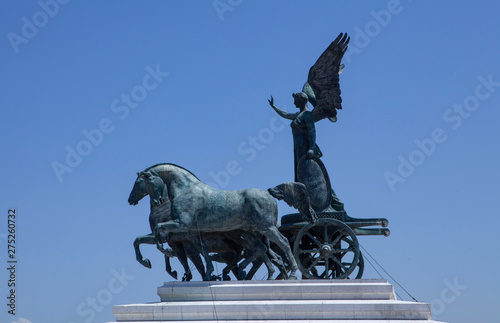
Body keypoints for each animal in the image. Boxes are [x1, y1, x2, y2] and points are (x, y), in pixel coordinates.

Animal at [132, 163, 296, 280]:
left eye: (140, 181)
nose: (130, 200)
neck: (185, 189)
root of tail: (268, 194)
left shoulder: (181, 225)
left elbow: (158, 230)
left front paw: (159, 252)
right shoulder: (191, 233)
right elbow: (202, 253)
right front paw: (208, 274)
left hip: (266, 228)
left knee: (283, 243)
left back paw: (292, 274)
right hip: (249, 234)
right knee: (262, 250)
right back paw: (249, 271)